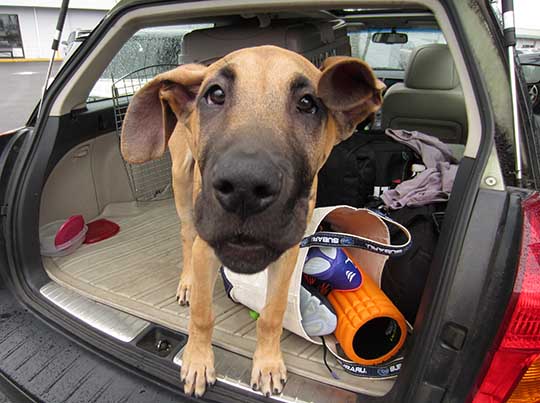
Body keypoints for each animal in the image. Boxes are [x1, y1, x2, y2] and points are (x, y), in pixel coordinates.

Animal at [122, 45, 384, 400]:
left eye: (308, 103)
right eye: (215, 94)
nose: (244, 187)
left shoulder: (288, 254)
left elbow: (271, 315)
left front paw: (268, 363)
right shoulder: (206, 247)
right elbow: (202, 314)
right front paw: (197, 361)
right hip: (182, 182)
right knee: (186, 234)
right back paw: (187, 282)